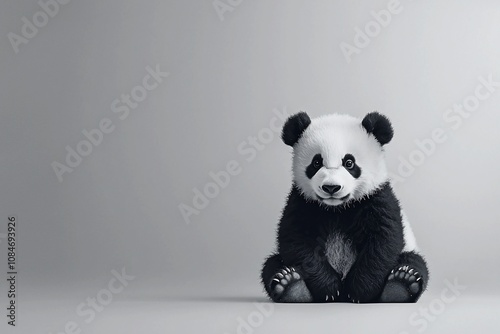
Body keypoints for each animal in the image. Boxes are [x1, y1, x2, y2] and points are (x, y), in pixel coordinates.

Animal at [260, 111, 428, 302]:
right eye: (316, 163)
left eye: (349, 163)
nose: (331, 187)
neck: (338, 208)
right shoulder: (302, 201)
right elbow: (298, 242)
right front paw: (330, 289)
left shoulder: (377, 198)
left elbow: (383, 241)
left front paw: (358, 291)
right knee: (271, 264)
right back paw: (291, 286)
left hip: (410, 249)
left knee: (414, 261)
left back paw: (400, 284)